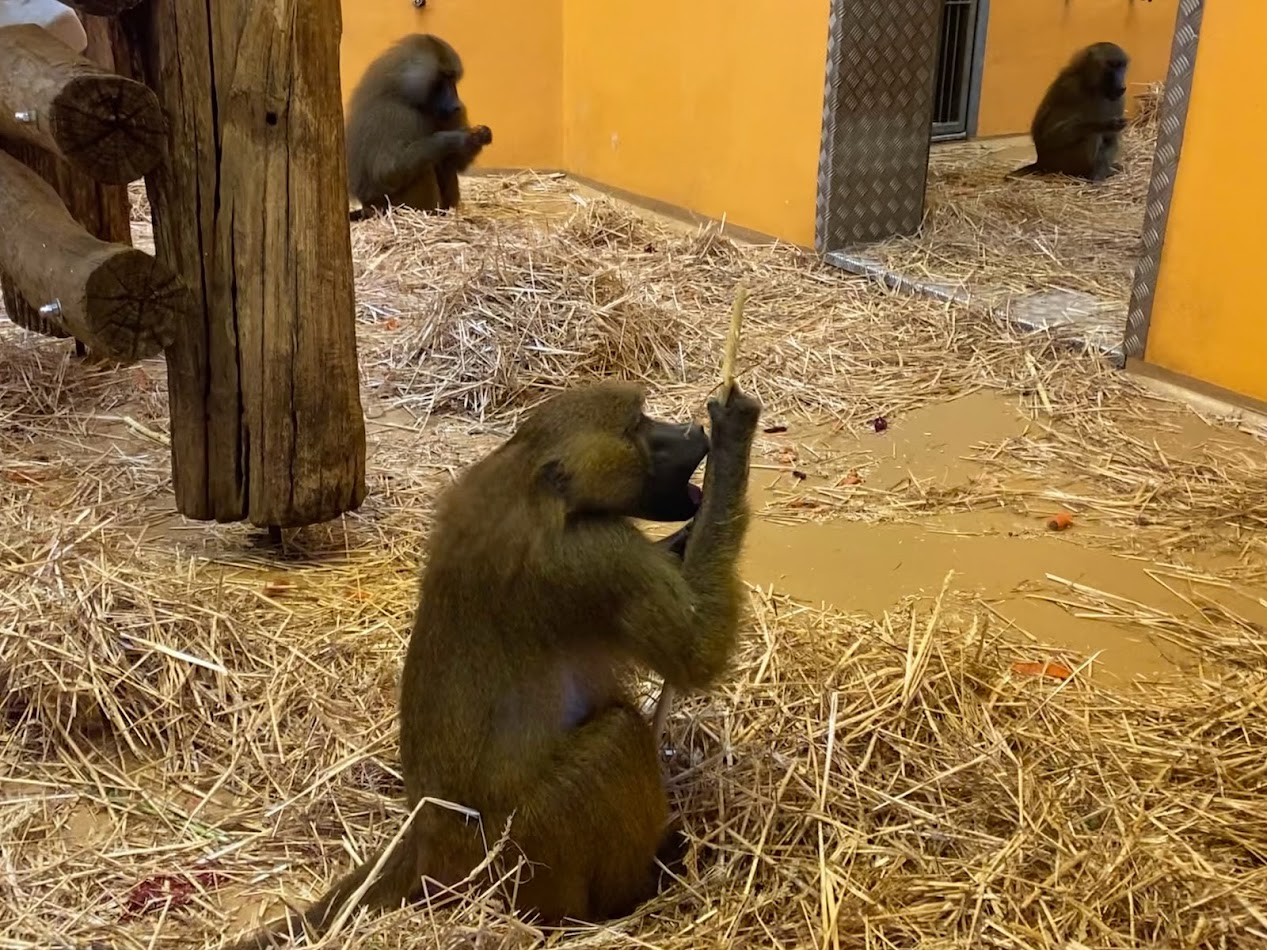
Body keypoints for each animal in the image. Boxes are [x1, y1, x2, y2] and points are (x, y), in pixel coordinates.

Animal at [225, 381, 762, 948]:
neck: (532, 481)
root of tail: (425, 840)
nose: (691, 431)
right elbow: (698, 655)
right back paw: (639, 888)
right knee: (616, 738)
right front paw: (733, 436)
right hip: (521, 850)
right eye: (637, 427)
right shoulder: (602, 558)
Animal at [344, 34, 493, 221]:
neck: (404, 94)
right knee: (424, 169)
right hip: (386, 208)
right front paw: (459, 138)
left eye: (453, 79)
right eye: (444, 79)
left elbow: (456, 162)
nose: (457, 105)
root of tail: (367, 209)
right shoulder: (392, 114)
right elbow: (387, 172)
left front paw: (481, 135)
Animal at [1009, 42, 1130, 183]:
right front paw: (1105, 124)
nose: (1121, 86)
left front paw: (1100, 173)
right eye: (1112, 65)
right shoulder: (1070, 90)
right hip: (1059, 162)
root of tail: (1041, 162)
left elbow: (1111, 138)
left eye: (1122, 66)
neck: (1093, 86)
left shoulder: (1120, 99)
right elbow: (1050, 135)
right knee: (1091, 135)